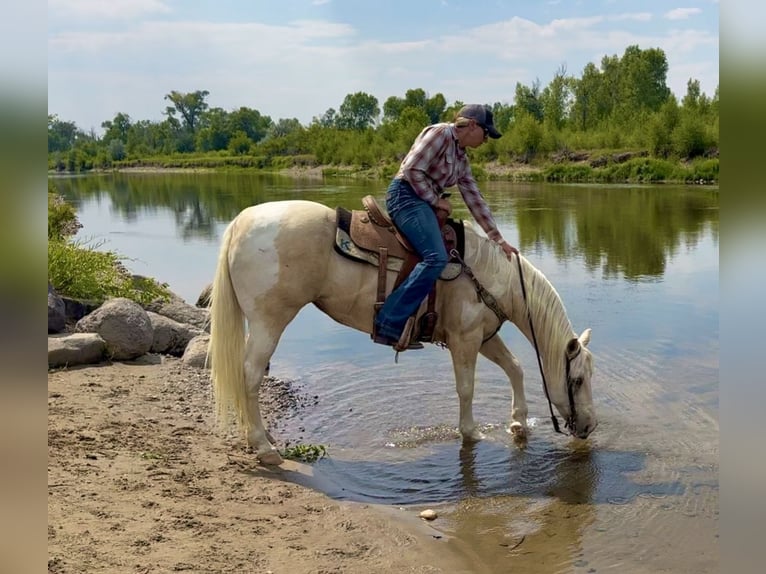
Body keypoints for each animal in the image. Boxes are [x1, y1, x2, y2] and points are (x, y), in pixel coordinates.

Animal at [209, 199, 596, 465]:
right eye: (577, 380)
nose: (590, 427)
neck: (488, 274)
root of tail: (242, 222)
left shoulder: (484, 336)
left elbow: (514, 367)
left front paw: (518, 423)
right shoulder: (465, 340)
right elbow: (466, 388)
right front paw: (470, 432)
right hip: (269, 320)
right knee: (250, 374)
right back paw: (264, 447)